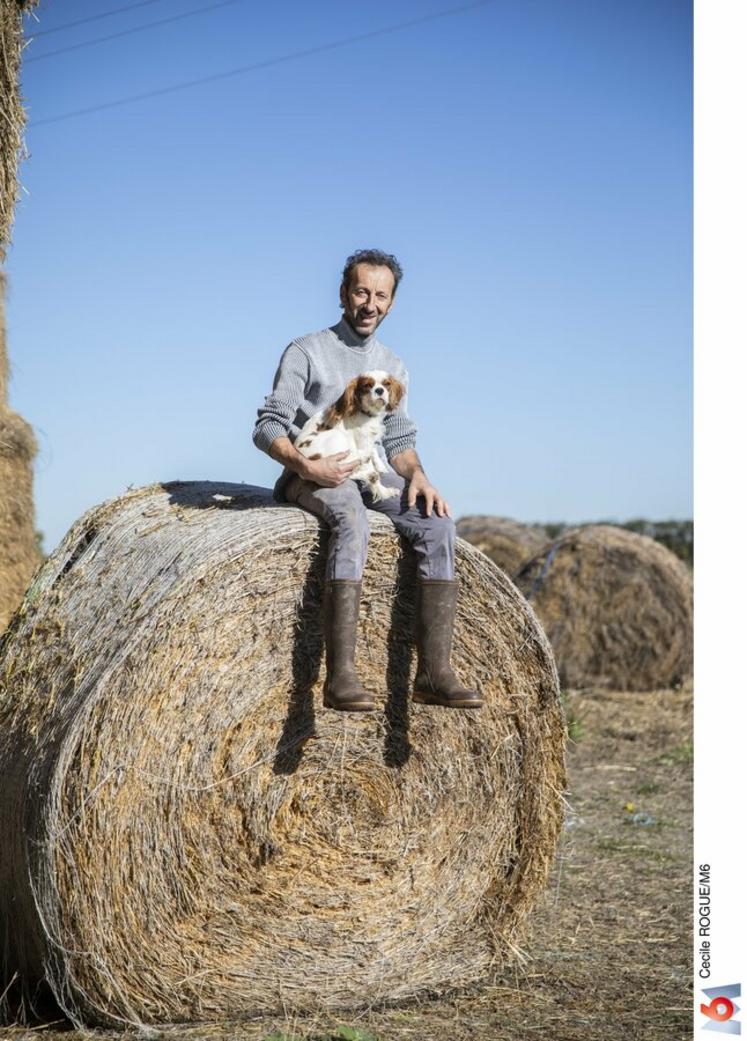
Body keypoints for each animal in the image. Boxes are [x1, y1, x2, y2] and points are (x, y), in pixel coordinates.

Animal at [295, 370, 405, 499]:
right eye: (367, 385)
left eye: (386, 384)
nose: (379, 390)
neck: (366, 414)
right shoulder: (361, 441)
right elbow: (368, 460)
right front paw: (382, 491)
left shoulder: (368, 440)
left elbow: (373, 450)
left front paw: (380, 468)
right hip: (337, 437)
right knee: (343, 464)